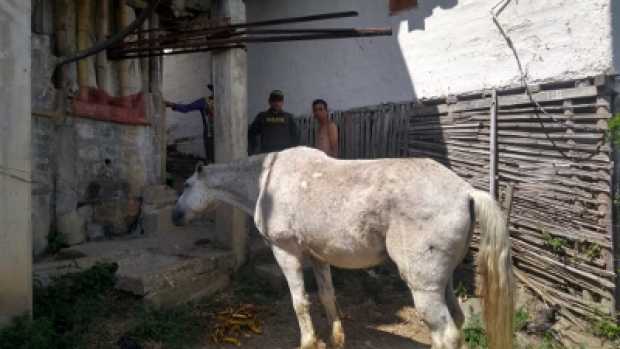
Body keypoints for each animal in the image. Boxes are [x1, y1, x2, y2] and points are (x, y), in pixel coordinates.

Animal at [172, 146, 516, 348]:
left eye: (186, 186)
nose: (175, 217)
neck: (265, 181)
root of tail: (467, 192)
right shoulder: (317, 256)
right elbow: (327, 297)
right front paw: (336, 338)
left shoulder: (286, 253)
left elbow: (300, 302)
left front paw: (309, 342)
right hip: (442, 282)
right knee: (456, 320)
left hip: (424, 287)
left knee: (446, 334)